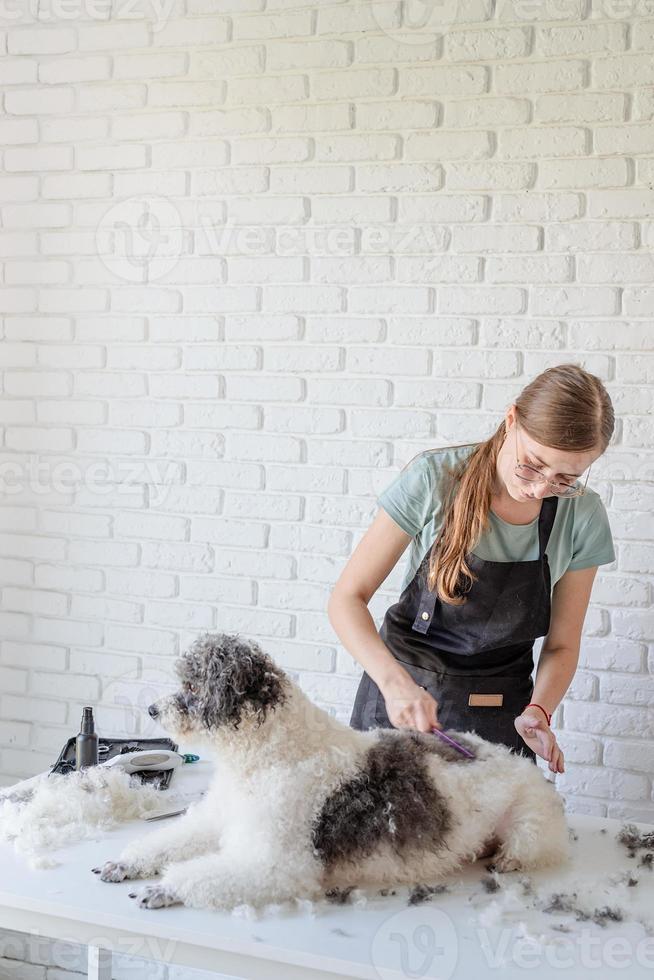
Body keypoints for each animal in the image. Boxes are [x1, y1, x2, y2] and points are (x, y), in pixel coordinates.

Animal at [92, 632, 576, 916]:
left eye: (193, 686)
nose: (152, 710)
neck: (271, 754)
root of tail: (516, 759)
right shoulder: (218, 820)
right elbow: (166, 841)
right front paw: (126, 862)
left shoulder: (279, 865)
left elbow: (204, 875)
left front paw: (165, 888)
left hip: (529, 826)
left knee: (529, 848)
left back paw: (506, 858)